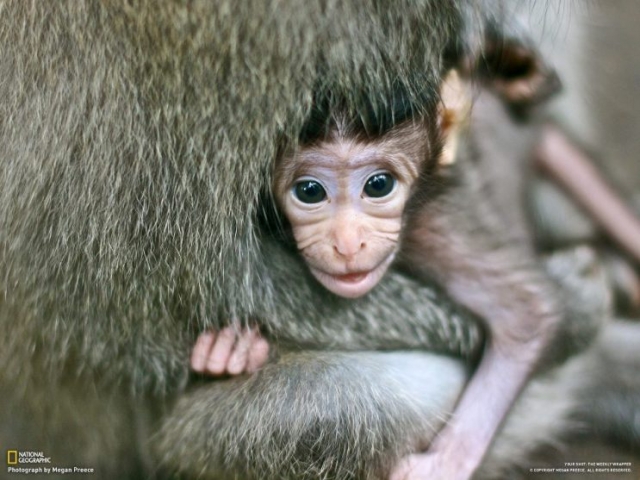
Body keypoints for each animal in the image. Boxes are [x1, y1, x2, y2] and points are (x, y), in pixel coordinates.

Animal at [0, 2, 632, 480]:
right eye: (309, 191)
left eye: (379, 185)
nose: (348, 243)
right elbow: (124, 312)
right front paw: (233, 350)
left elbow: (528, 316)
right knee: (322, 409)